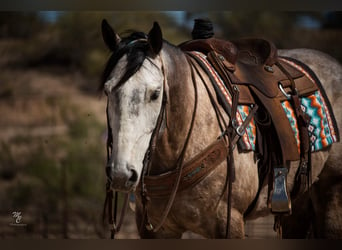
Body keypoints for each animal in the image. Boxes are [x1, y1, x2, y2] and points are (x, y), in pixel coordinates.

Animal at [101, 20, 342, 238]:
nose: (121, 174)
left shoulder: (229, 224)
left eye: (155, 93)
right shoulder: (156, 229)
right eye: (107, 90)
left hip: (332, 196)